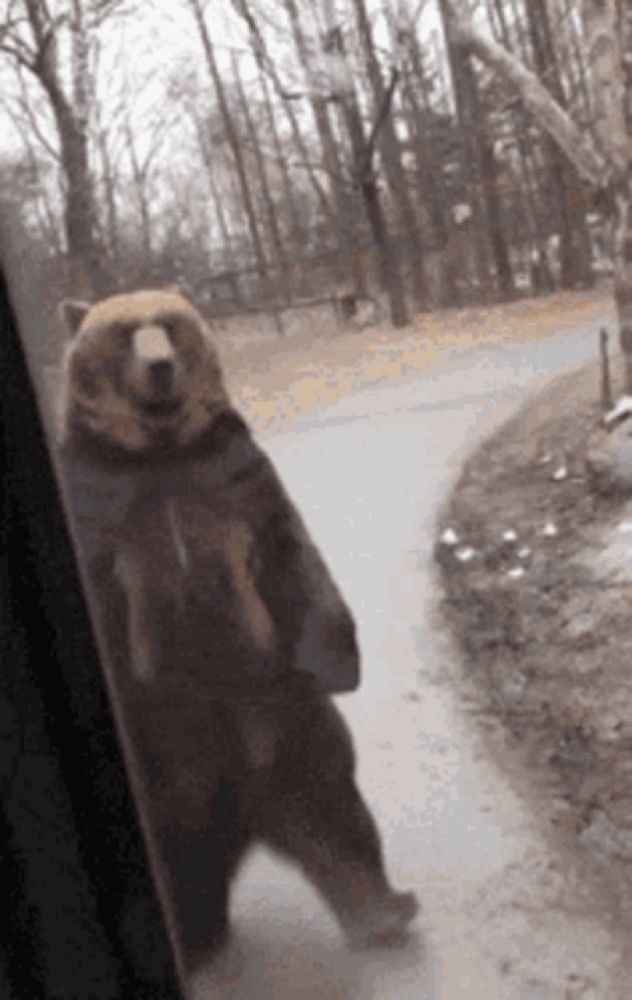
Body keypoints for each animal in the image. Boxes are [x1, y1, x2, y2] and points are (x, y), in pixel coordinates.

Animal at [55, 288, 420, 968]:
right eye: (125, 332)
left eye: (169, 325)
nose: (160, 366)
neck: (159, 451)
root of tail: (235, 812)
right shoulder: (100, 504)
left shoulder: (237, 478)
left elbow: (291, 552)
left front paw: (339, 661)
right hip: (168, 749)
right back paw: (196, 937)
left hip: (285, 720)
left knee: (333, 803)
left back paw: (384, 910)